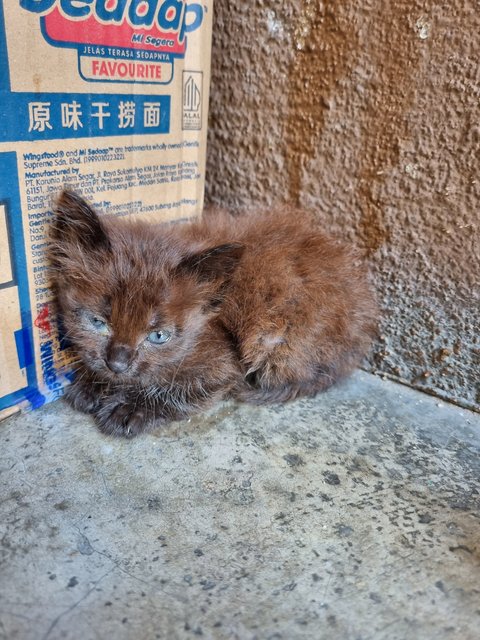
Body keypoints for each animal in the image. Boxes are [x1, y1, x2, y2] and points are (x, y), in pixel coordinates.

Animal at [48, 190, 378, 438]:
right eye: (97, 322)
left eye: (158, 336)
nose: (117, 364)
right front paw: (92, 382)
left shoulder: (225, 363)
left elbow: (183, 389)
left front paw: (131, 407)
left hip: (281, 345)